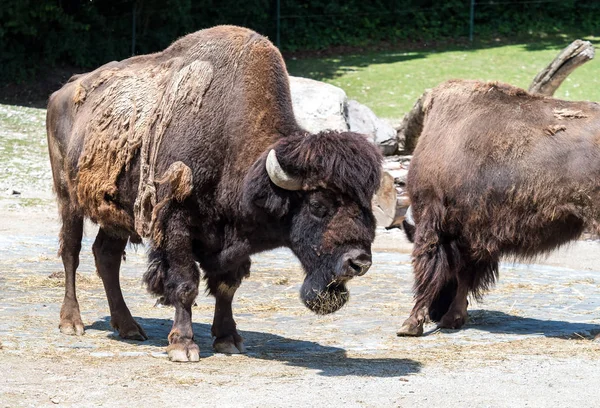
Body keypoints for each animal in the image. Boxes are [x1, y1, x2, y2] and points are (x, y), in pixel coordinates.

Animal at [49, 25, 382, 360]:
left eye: (367, 205)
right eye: (317, 205)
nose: (359, 262)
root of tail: (61, 92)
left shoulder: (233, 238)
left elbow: (226, 286)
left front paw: (227, 339)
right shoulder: (176, 223)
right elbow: (185, 284)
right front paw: (183, 346)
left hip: (116, 213)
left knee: (106, 256)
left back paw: (129, 327)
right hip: (68, 199)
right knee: (71, 252)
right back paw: (71, 323)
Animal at [398, 79, 600, 338]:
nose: (436, 312)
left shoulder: (433, 219)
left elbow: (428, 266)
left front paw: (410, 325)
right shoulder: (472, 233)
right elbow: (465, 274)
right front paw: (452, 318)